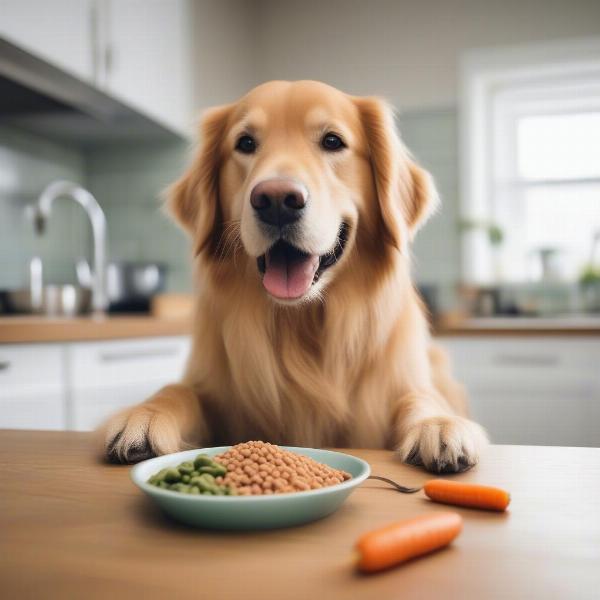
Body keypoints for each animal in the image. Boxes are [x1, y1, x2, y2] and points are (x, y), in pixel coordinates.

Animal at [99, 81, 488, 474]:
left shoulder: (399, 389)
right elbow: (179, 390)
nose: (276, 200)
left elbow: (420, 398)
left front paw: (438, 424)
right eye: (245, 143)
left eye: (332, 141)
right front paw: (144, 415)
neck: (301, 324)